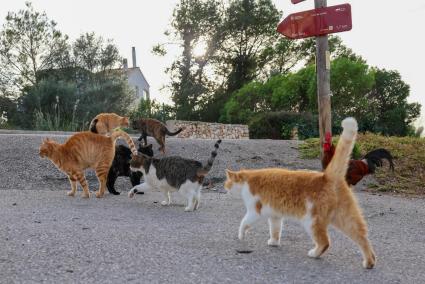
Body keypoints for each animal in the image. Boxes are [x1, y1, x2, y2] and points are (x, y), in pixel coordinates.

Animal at [224, 118, 376, 270]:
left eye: (227, 183)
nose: (225, 190)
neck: (247, 180)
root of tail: (327, 176)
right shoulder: (275, 216)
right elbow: (275, 230)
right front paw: (274, 242)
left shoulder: (254, 211)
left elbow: (244, 223)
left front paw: (241, 235)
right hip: (345, 218)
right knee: (362, 237)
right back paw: (369, 262)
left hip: (312, 221)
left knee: (325, 242)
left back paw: (314, 253)